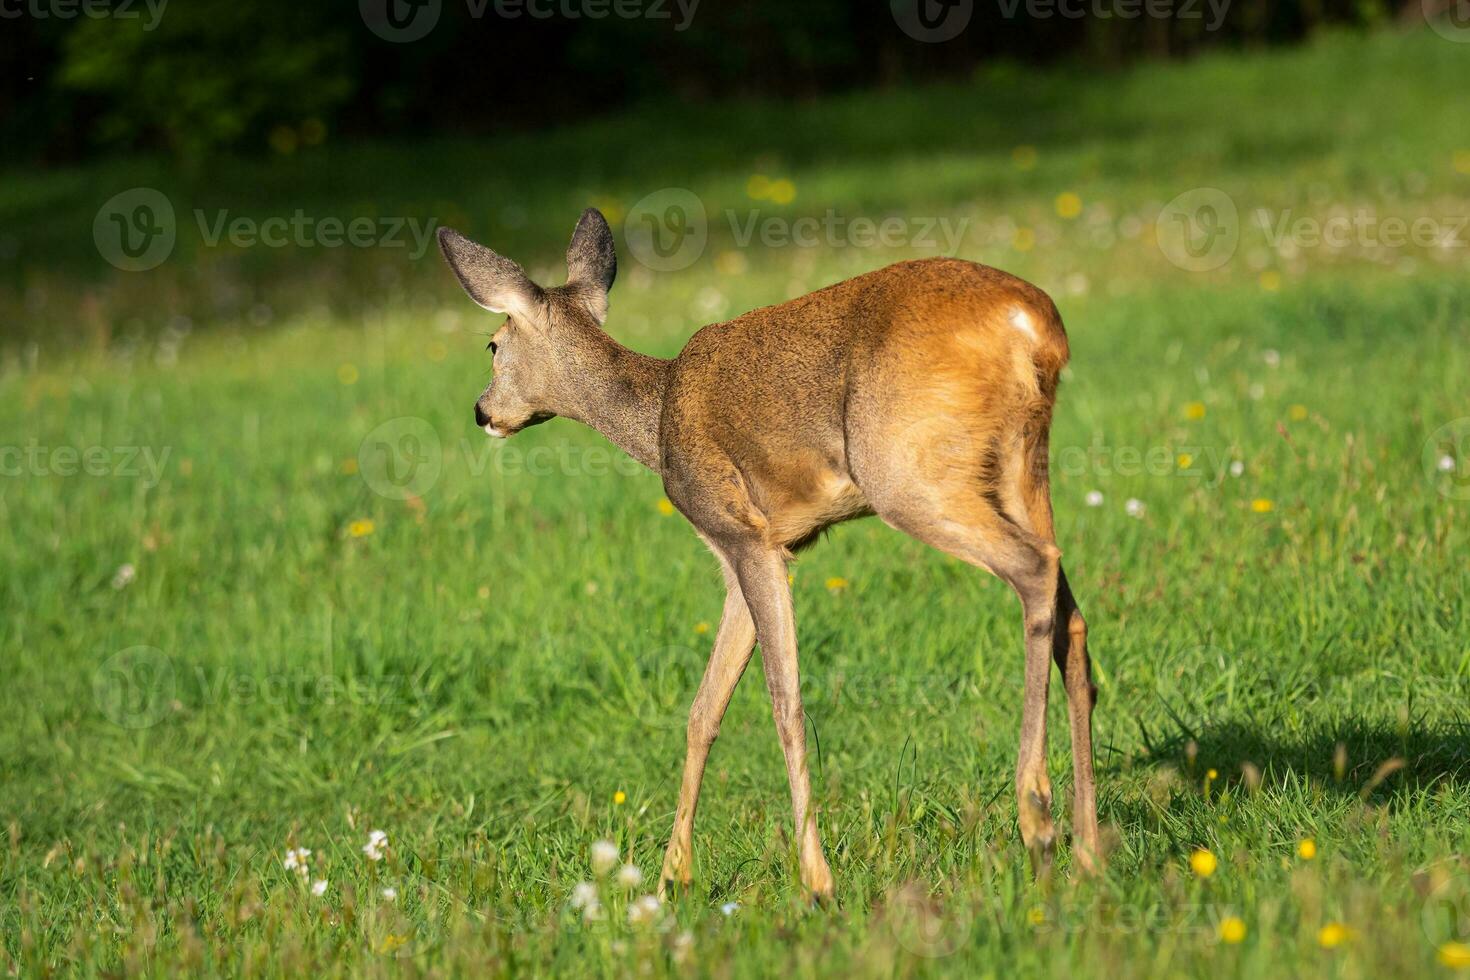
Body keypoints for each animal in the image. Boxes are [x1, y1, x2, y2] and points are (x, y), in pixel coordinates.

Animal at [438, 211, 1105, 899]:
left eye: (493, 344)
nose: (482, 411)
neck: (656, 416)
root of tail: (1032, 325)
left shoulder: (743, 534)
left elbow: (785, 703)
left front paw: (816, 880)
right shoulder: (754, 551)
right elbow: (703, 710)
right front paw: (672, 876)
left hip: (907, 473)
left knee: (1033, 570)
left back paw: (1036, 815)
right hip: (1020, 465)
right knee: (1070, 609)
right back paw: (1089, 851)